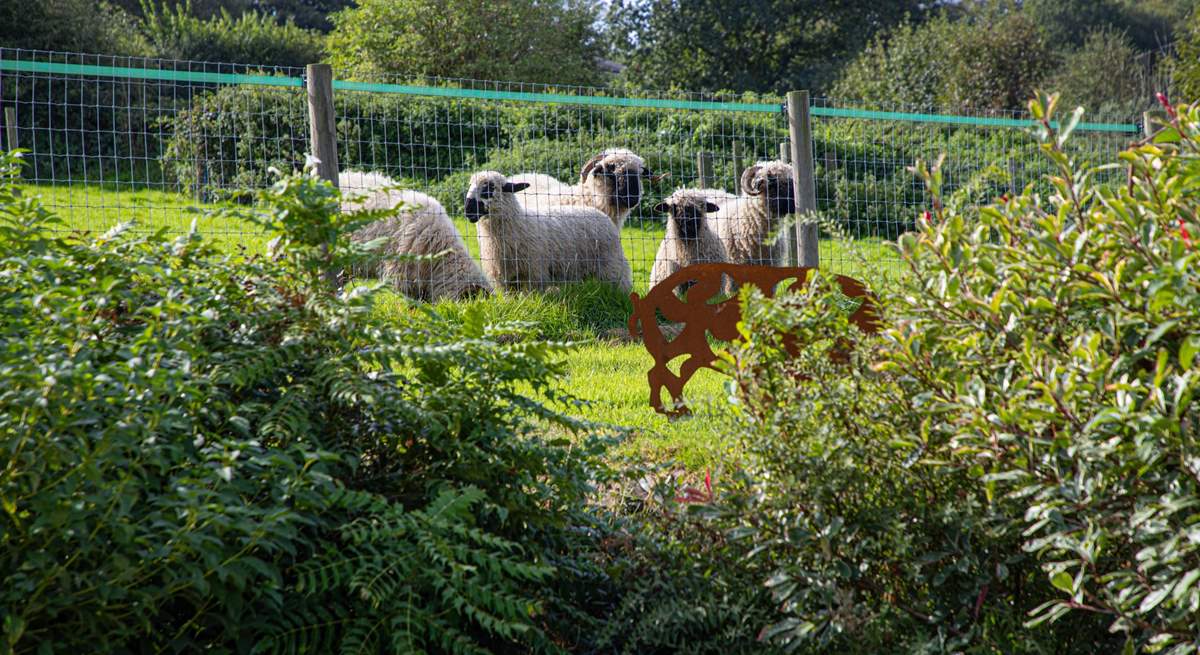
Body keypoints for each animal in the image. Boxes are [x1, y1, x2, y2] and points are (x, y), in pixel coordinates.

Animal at [465, 167, 638, 290]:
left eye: (489, 188)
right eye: (470, 186)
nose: (468, 210)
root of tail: (600, 213)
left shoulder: (535, 274)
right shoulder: (502, 278)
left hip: (612, 265)